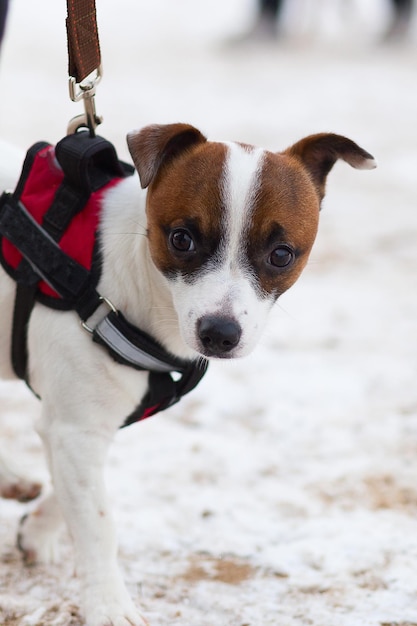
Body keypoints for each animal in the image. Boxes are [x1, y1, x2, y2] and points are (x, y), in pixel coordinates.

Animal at [0, 123, 376, 624]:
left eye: (281, 254)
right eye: (182, 239)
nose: (220, 333)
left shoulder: (81, 426)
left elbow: (71, 495)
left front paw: (38, 530)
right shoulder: (76, 428)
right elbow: (98, 522)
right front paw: (109, 606)